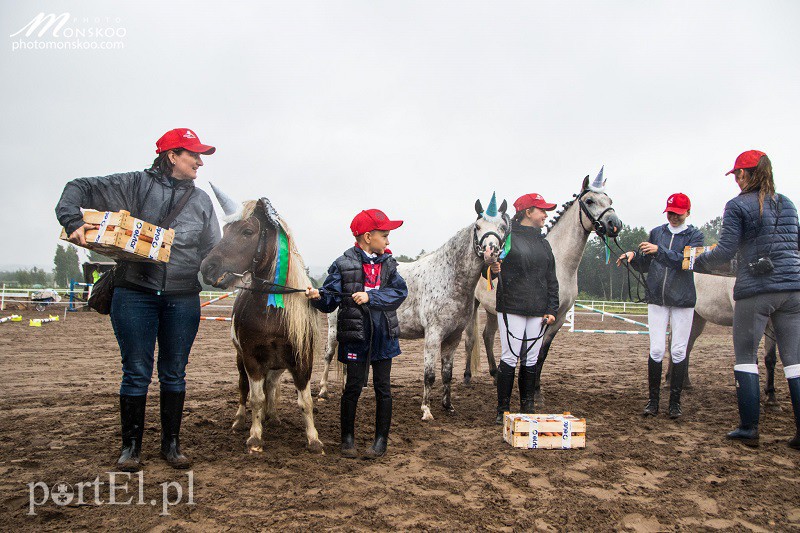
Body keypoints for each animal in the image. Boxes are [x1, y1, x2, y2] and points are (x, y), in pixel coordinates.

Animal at [202, 193, 324, 450]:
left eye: (247, 231)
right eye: (226, 229)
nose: (207, 268)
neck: (273, 312)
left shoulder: (301, 358)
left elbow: (305, 401)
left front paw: (313, 439)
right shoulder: (251, 358)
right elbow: (255, 398)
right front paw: (255, 437)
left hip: (277, 364)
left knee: (271, 385)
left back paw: (273, 416)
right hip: (241, 360)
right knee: (243, 388)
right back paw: (240, 420)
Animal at [318, 195, 510, 420]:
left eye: (503, 227)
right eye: (478, 227)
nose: (491, 252)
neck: (449, 277)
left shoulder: (453, 337)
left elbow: (447, 373)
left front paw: (448, 406)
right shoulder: (433, 335)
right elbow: (429, 375)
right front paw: (426, 410)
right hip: (334, 329)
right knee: (328, 355)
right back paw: (322, 391)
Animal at [466, 168, 620, 406]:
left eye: (610, 200)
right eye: (590, 200)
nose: (614, 224)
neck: (561, 262)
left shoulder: (558, 318)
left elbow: (540, 355)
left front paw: (536, 392)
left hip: (492, 311)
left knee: (487, 336)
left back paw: (494, 375)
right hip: (473, 305)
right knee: (470, 339)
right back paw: (466, 377)